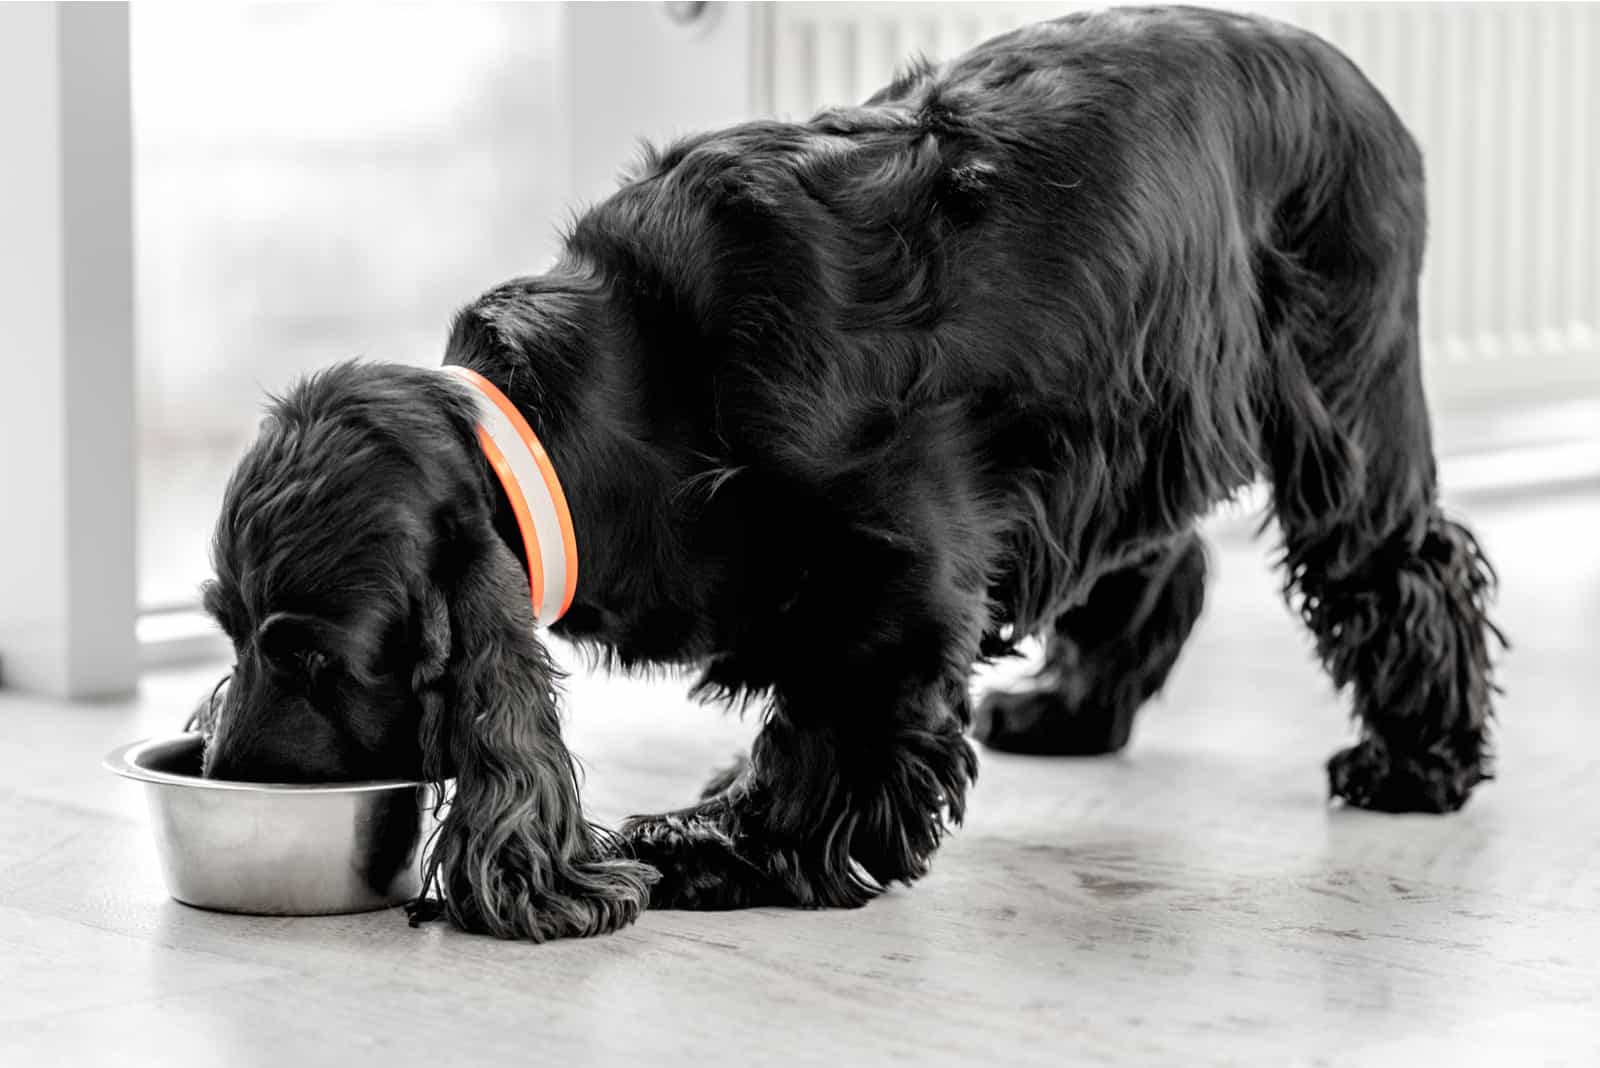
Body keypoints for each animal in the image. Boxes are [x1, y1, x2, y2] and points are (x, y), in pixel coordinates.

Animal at [196, 10, 1497, 940]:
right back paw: (1073, 709)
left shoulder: (899, 579)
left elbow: (828, 730)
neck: (637, 387)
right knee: (1155, 559)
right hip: (1137, 406)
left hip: (1344, 391)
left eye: (315, 658)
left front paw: (716, 847)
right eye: (226, 628)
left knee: (1406, 565)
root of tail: (1352, 78)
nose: (221, 774)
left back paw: (1416, 763)